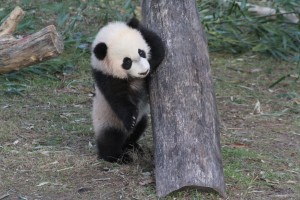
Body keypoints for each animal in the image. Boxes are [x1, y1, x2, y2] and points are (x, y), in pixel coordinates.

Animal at [91, 18, 166, 163]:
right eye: (127, 62)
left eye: (141, 52)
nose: (144, 71)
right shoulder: (106, 77)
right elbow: (118, 99)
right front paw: (130, 118)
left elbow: (158, 45)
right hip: (108, 121)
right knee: (110, 139)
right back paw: (118, 157)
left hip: (140, 120)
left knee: (139, 127)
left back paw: (133, 146)